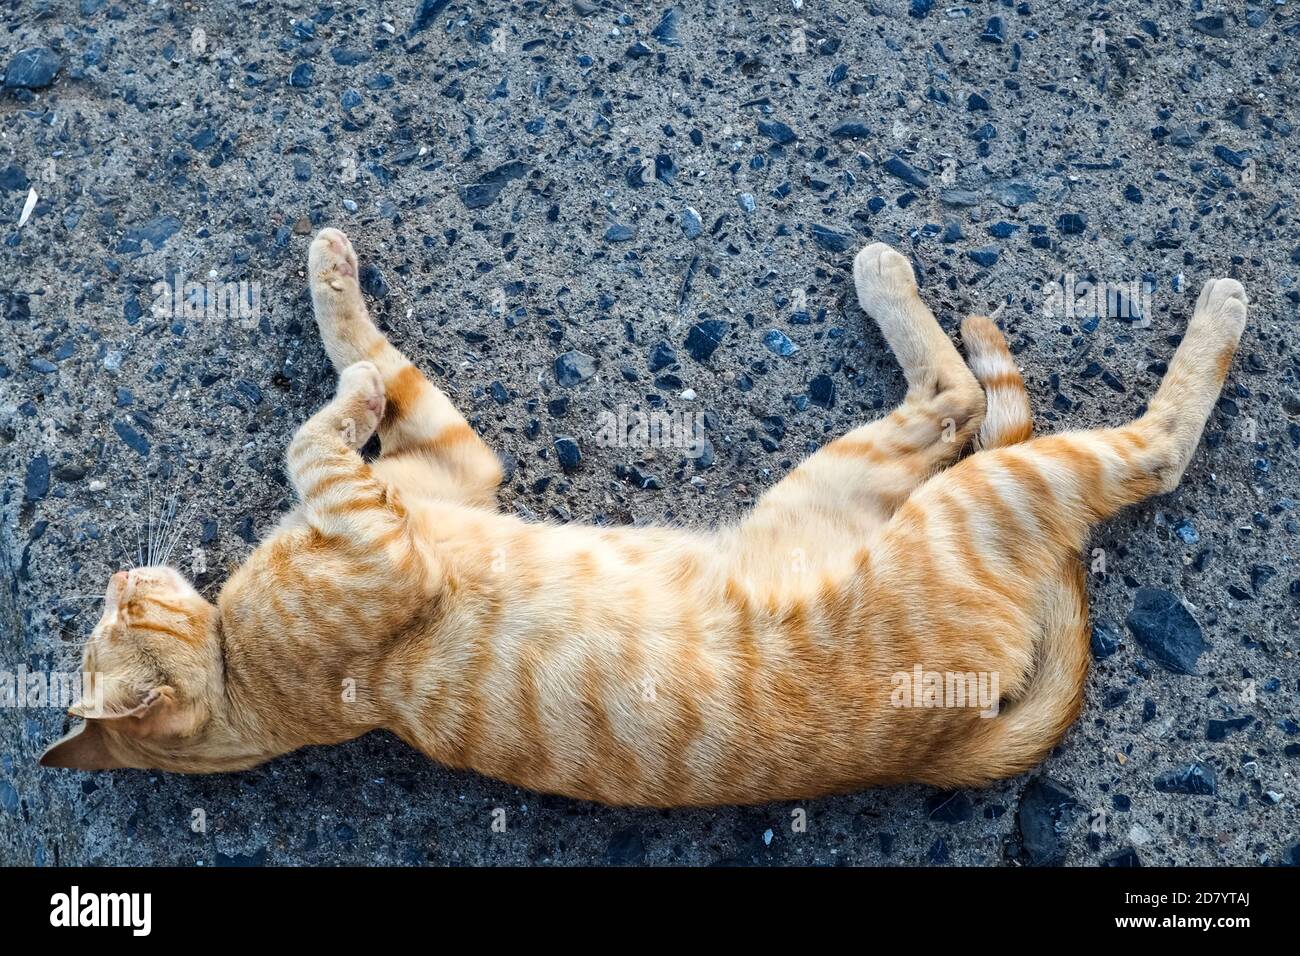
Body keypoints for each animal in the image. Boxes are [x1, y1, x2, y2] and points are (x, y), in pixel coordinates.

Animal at [35, 231, 1242, 806]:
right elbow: (314, 435)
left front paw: (337, 294)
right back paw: (1222, 307)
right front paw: (349, 397)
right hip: (972, 499)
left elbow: (363, 357)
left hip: (855, 471)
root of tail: (947, 740)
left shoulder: (452, 466)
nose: (118, 576)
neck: (241, 671)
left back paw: (886, 276)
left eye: (110, 611)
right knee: (1136, 447)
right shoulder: (389, 541)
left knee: (953, 393)